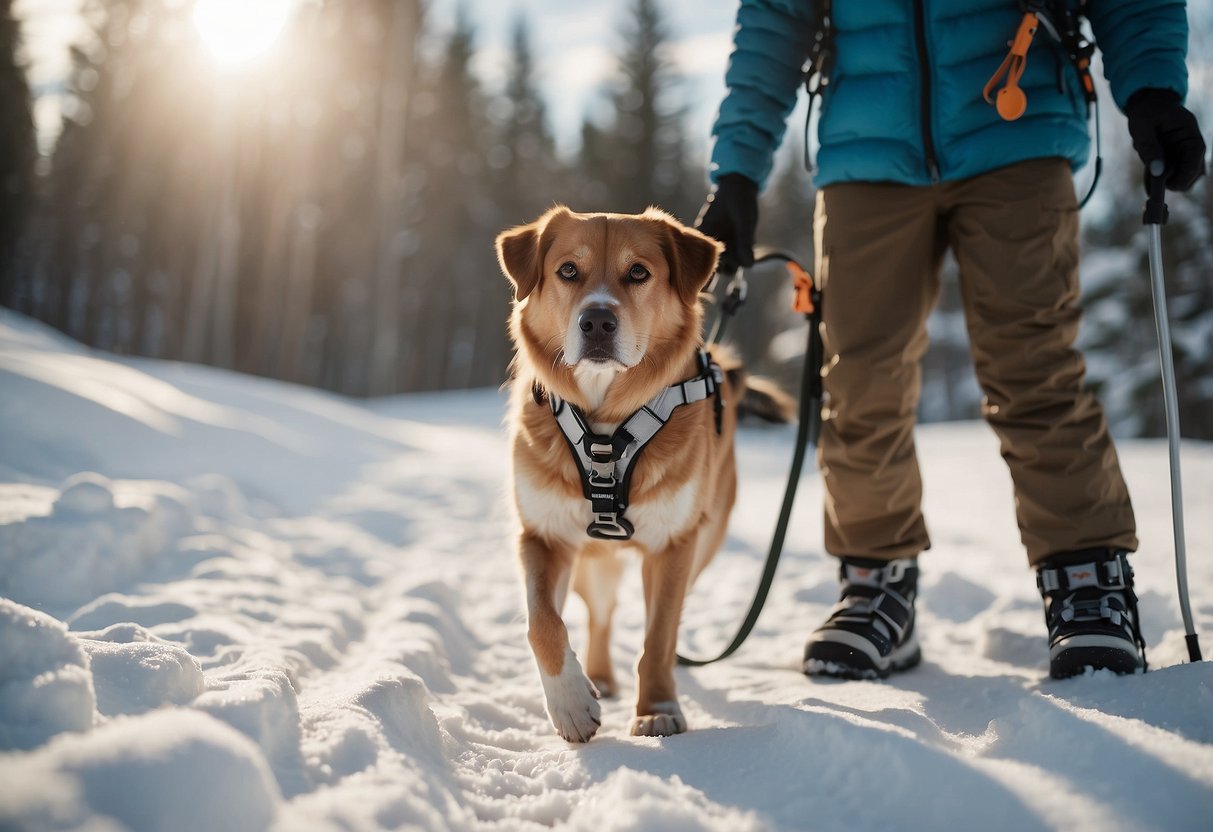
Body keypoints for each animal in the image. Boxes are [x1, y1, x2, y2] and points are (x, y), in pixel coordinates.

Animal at [497, 207, 790, 742]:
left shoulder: (673, 544)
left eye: (638, 272)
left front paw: (657, 708)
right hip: (593, 559)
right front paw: (570, 702)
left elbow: (659, 635)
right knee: (601, 614)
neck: (606, 425)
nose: (597, 320)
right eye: (568, 270)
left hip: (703, 542)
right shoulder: (544, 534)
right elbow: (542, 623)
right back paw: (599, 676)